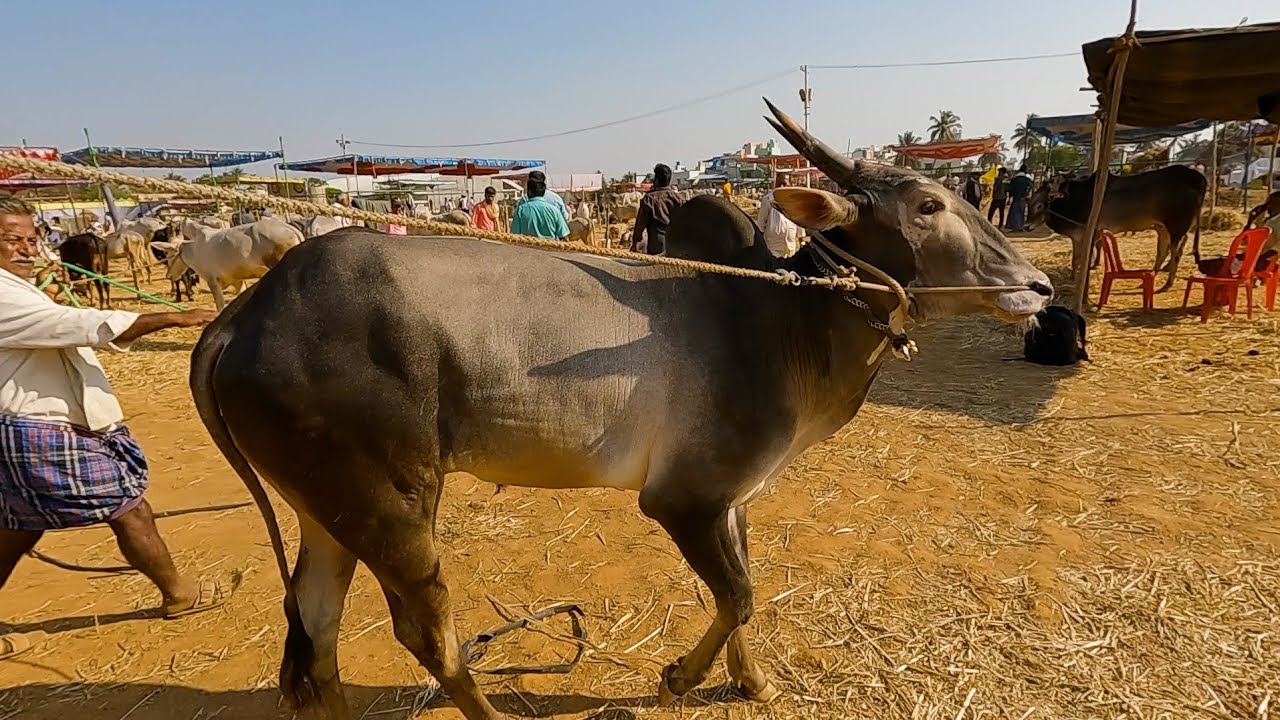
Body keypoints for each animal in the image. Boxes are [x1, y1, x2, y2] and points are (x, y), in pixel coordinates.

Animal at [153, 219, 302, 310]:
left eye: (166, 253)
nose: (169, 275)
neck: (193, 248)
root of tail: (289, 227)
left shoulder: (212, 282)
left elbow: (220, 307)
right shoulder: (238, 281)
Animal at [188, 99, 1052, 720]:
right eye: (930, 204)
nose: (1040, 288)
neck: (782, 318)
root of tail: (246, 316)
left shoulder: (732, 498)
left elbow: (744, 590)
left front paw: (751, 682)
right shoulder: (684, 499)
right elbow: (737, 595)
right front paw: (677, 678)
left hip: (326, 512)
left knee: (318, 631)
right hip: (390, 504)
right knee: (425, 634)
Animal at [1031, 165, 1207, 291]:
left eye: (1039, 205)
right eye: (1029, 200)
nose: (1027, 225)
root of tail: (1197, 178)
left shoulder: (1089, 233)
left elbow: (1081, 259)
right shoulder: (1080, 235)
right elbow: (1077, 259)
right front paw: (1075, 276)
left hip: (1176, 228)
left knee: (1176, 253)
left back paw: (1167, 284)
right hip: (1162, 228)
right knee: (1162, 252)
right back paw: (1150, 277)